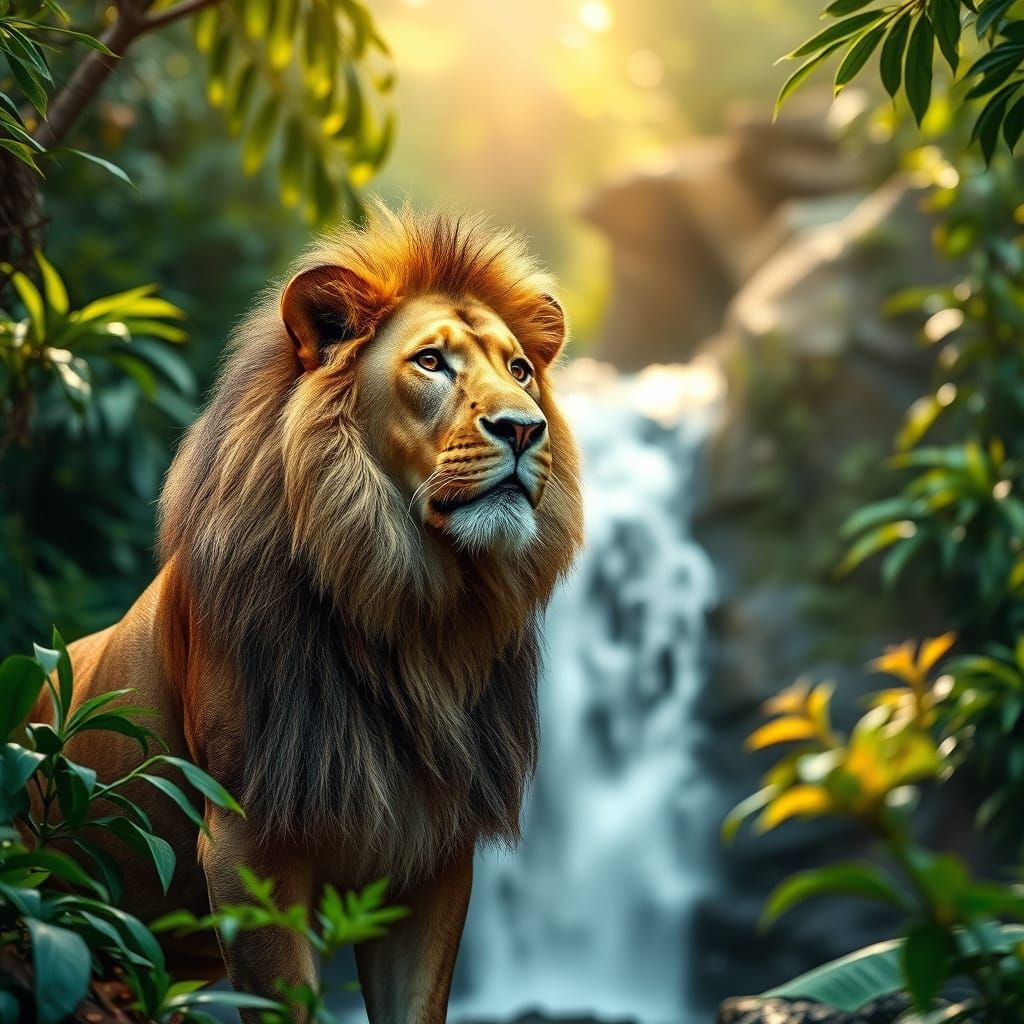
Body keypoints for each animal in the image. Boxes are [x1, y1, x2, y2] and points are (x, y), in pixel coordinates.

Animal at [40, 202, 584, 1022]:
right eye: (432, 362)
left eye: (519, 370)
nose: (524, 428)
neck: (411, 613)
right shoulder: (245, 844)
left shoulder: (432, 849)